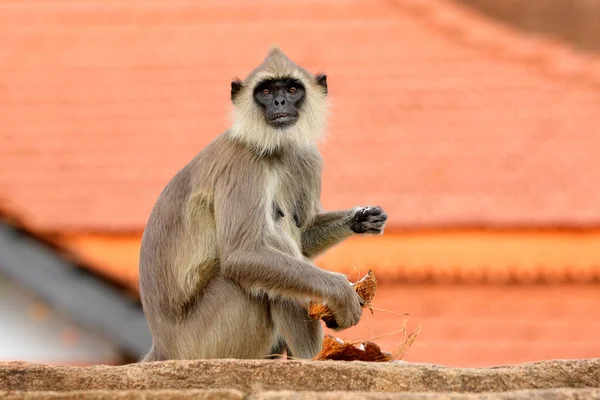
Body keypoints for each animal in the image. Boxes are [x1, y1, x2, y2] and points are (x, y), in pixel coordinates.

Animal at [138, 47, 386, 362]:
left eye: (291, 89)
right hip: (204, 338)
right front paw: (341, 293)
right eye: (266, 91)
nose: (280, 102)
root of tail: (163, 346)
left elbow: (303, 234)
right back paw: (316, 357)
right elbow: (243, 254)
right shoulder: (242, 164)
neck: (273, 149)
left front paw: (362, 218)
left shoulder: (307, 157)